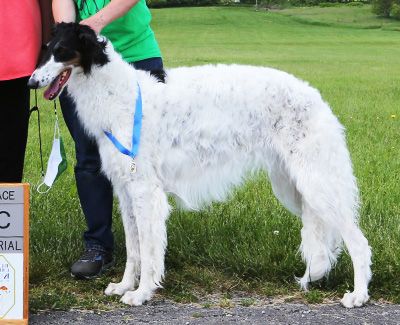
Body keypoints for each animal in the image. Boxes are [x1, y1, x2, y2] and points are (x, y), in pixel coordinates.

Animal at [28, 22, 372, 306]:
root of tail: (317, 97)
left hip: (315, 184)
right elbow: (133, 248)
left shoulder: (146, 191)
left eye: (61, 52)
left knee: (358, 241)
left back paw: (358, 295)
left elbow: (149, 250)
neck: (119, 94)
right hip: (292, 186)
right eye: (45, 49)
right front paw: (125, 286)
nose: (31, 82)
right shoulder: (125, 190)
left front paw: (142, 293)